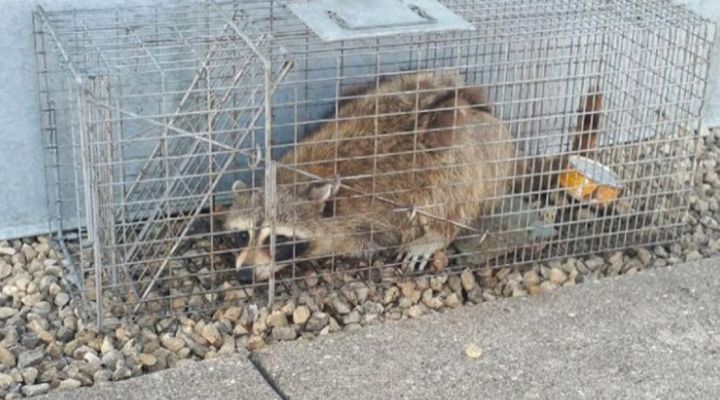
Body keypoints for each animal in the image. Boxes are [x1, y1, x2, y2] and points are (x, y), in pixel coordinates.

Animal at [225, 72, 516, 280]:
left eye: (278, 239)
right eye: (243, 236)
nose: (245, 274)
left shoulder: (367, 219)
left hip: (473, 153)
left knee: (451, 188)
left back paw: (438, 232)